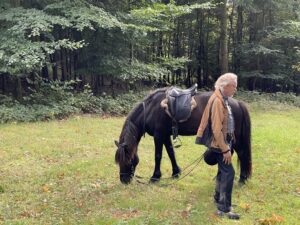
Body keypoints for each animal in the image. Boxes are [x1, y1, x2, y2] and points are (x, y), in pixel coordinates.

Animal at [115, 88, 251, 185]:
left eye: (127, 159)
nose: (123, 180)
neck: (150, 109)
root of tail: (237, 103)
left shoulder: (158, 135)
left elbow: (158, 156)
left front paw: (155, 177)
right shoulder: (165, 135)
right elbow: (171, 153)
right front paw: (176, 173)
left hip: (236, 138)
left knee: (241, 153)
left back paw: (242, 179)